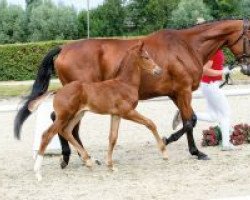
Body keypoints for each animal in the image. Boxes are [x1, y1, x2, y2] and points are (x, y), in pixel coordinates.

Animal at [14, 18, 250, 166]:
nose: (246, 68)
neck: (186, 45)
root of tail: (64, 48)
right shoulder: (183, 91)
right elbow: (189, 121)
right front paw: (177, 144)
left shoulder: (176, 94)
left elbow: (188, 120)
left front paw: (191, 150)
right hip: (78, 99)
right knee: (62, 122)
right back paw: (72, 157)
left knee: (66, 124)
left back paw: (81, 157)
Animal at [32, 41, 166, 180]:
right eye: (146, 57)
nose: (158, 70)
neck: (125, 84)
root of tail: (58, 91)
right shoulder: (127, 112)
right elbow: (150, 123)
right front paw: (164, 153)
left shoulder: (116, 114)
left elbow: (113, 138)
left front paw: (111, 166)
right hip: (64, 116)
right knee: (47, 135)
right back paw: (38, 172)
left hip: (78, 114)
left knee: (66, 131)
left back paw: (88, 161)